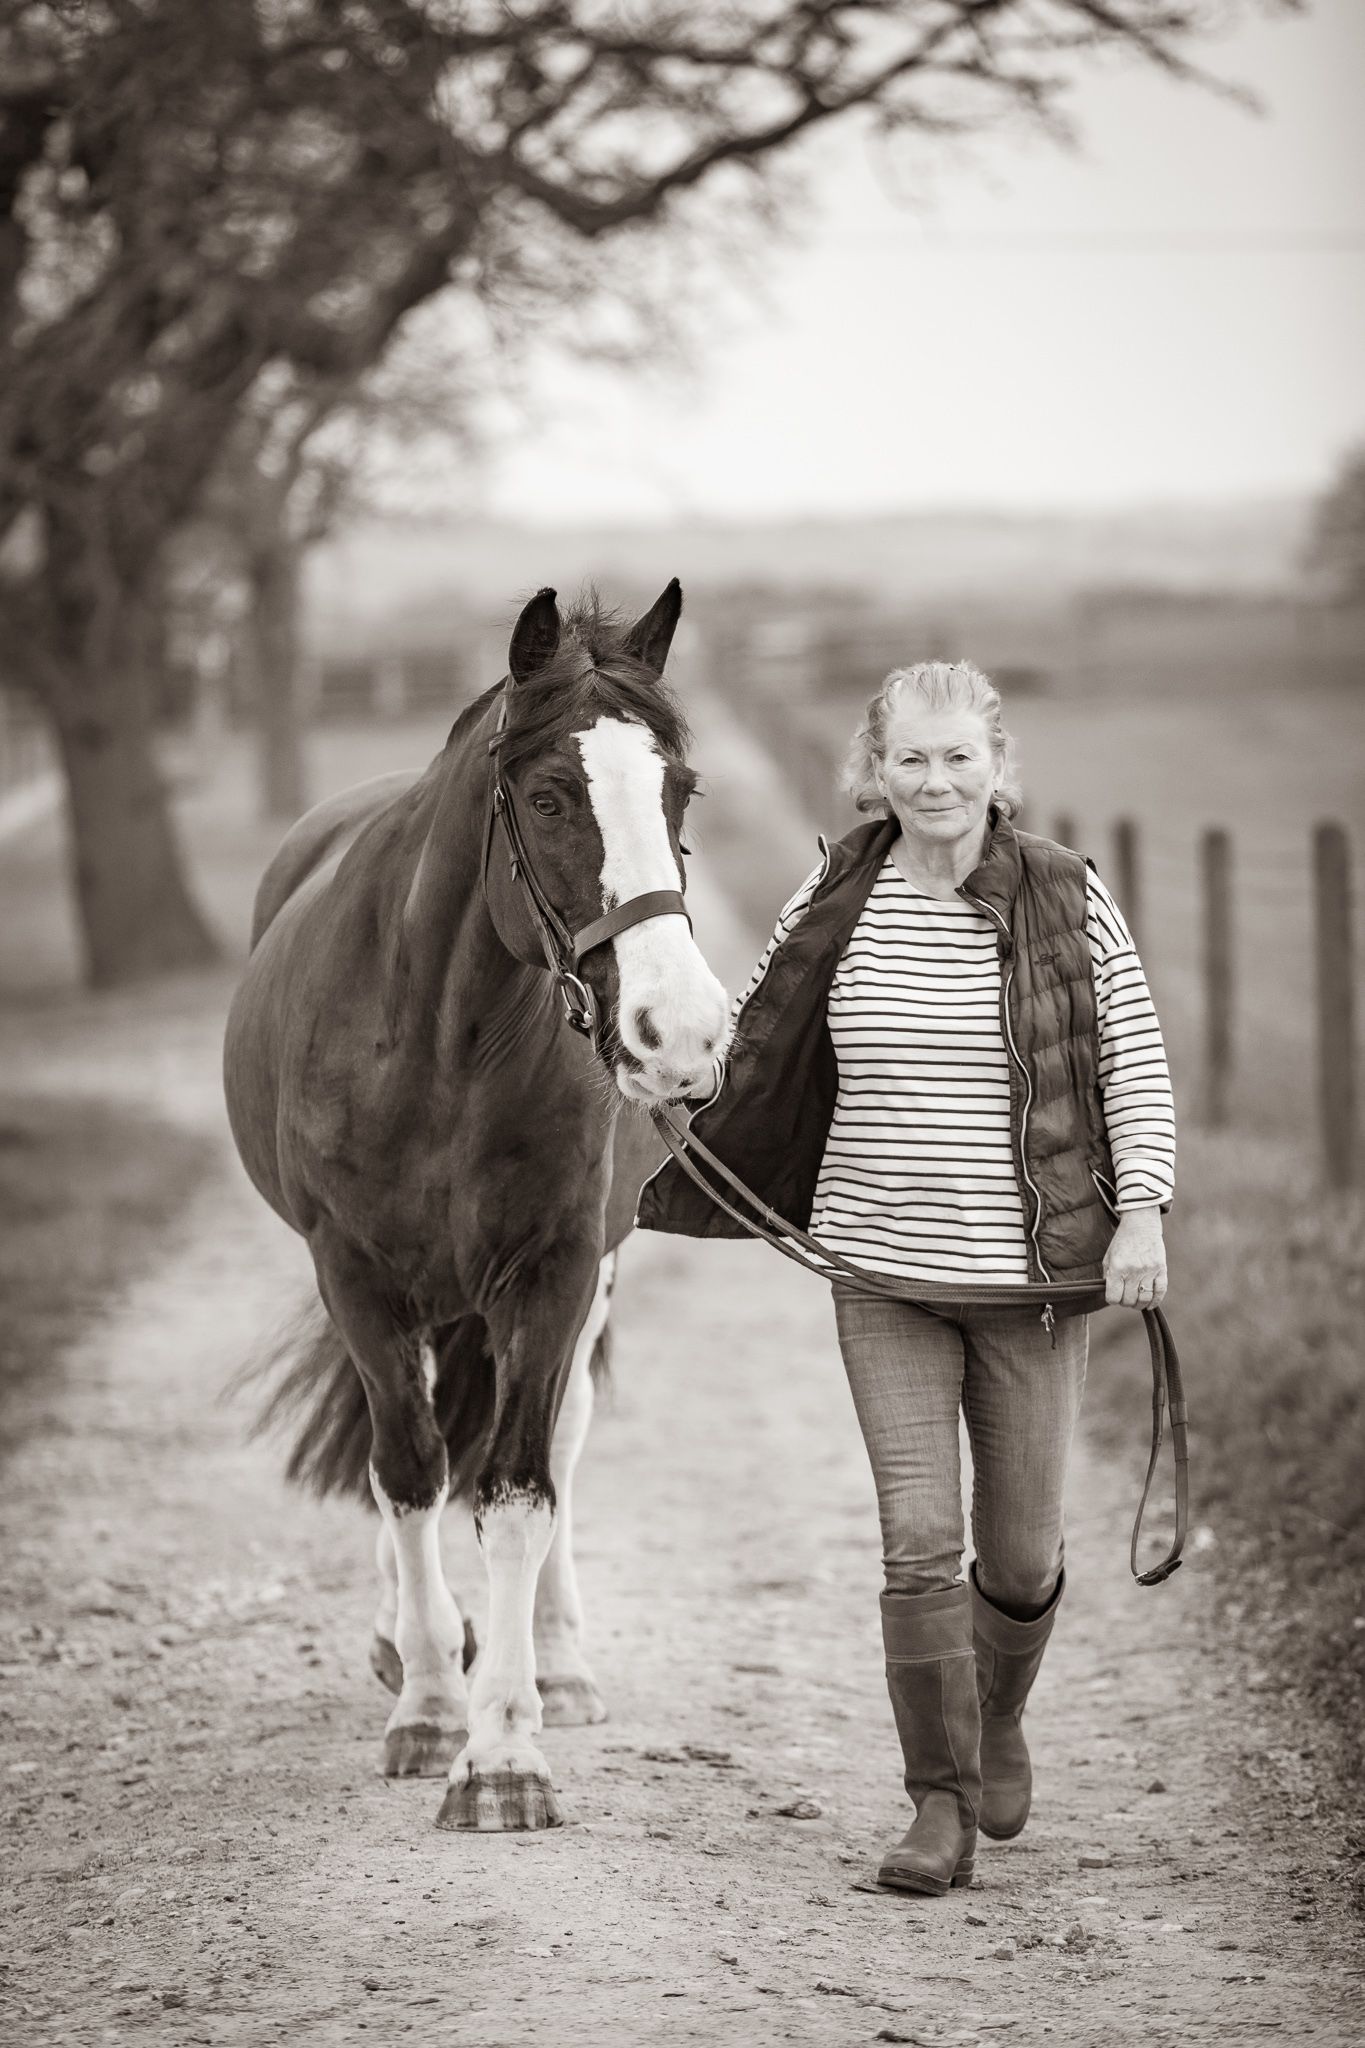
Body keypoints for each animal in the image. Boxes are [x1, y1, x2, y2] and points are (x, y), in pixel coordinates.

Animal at [223, 581, 731, 1831]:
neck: (442, 1042)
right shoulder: (355, 1275)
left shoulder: (552, 1271)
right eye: (549, 796)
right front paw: (427, 1708)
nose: (683, 1033)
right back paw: (409, 1642)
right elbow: (405, 1470)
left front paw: (503, 1746)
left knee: (558, 1438)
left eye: (681, 790)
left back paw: (557, 1660)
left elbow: (517, 1486)